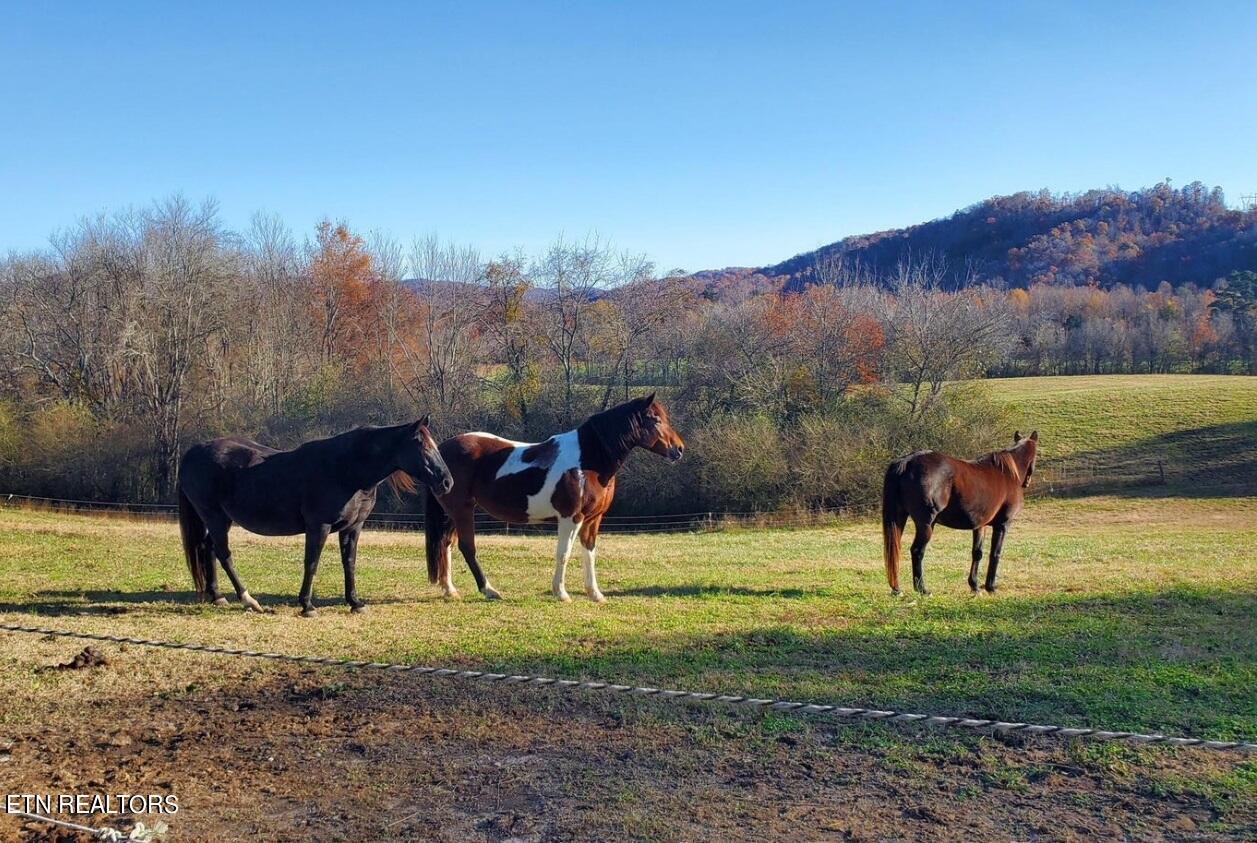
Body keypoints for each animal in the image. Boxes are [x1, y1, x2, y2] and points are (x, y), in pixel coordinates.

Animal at [177, 419, 452, 615]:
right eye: (422, 445)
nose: (447, 482)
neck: (346, 470)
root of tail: (192, 453)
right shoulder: (318, 526)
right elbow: (311, 562)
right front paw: (307, 605)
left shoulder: (353, 527)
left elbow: (349, 562)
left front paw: (355, 602)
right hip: (214, 517)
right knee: (223, 554)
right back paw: (248, 600)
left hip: (218, 520)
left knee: (209, 549)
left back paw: (217, 596)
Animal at [424, 394, 683, 600]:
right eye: (656, 419)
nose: (679, 449)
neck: (588, 462)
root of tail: (442, 452)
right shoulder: (571, 518)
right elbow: (563, 554)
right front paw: (561, 593)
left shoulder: (593, 520)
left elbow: (589, 553)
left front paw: (595, 594)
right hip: (462, 510)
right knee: (467, 547)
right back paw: (489, 590)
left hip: (453, 513)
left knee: (446, 544)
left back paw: (450, 590)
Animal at [879, 432, 1035, 598]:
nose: (1027, 483)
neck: (1007, 473)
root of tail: (907, 462)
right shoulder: (1002, 525)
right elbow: (995, 553)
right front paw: (990, 587)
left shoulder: (980, 526)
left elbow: (977, 553)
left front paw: (974, 586)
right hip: (926, 525)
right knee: (917, 551)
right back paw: (922, 589)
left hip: (899, 518)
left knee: (895, 549)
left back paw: (897, 589)